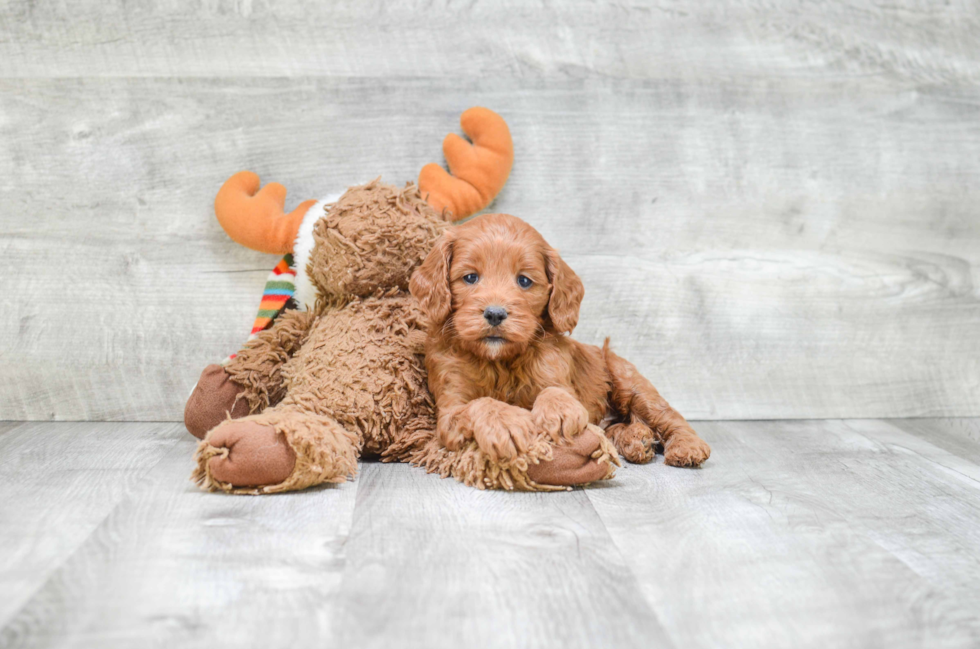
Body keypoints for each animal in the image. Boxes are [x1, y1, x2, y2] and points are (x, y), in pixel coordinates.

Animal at [408, 215, 712, 484]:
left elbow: (554, 390)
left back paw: (686, 447)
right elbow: (478, 404)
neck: (500, 362)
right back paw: (637, 440)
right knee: (615, 428)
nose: (495, 313)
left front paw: (560, 412)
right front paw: (505, 424)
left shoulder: (555, 371)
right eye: (470, 277)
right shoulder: (449, 410)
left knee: (668, 416)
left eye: (524, 281)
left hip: (631, 384)